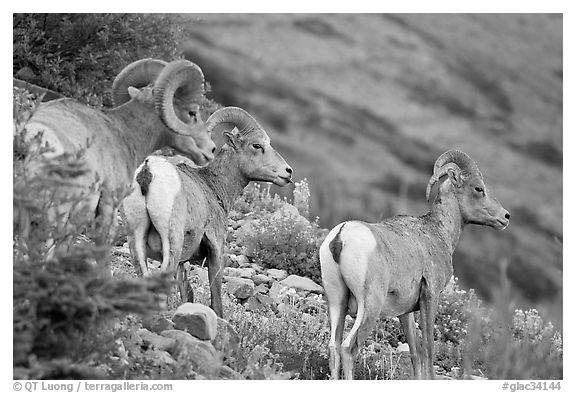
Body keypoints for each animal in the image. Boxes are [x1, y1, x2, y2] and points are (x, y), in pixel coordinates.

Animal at [121, 105, 292, 314]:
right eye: (257, 146)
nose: (288, 172)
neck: (213, 187)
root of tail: (148, 171)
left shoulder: (182, 263)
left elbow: (187, 294)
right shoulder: (216, 251)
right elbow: (216, 302)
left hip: (136, 241)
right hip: (171, 244)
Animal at [320, 149, 512, 376]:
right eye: (478, 188)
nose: (506, 217)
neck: (438, 232)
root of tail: (341, 236)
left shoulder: (405, 312)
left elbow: (415, 353)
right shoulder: (430, 297)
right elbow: (428, 349)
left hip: (336, 301)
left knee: (334, 347)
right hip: (369, 306)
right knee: (349, 348)